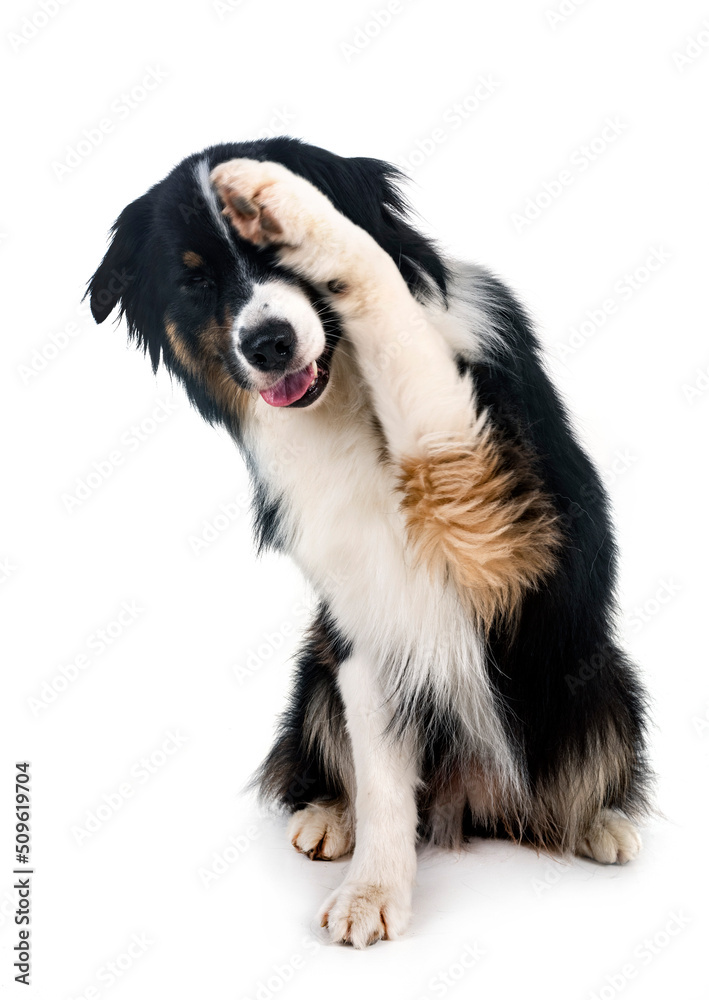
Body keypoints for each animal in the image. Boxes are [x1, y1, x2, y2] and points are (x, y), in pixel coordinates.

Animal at [88, 139, 652, 944]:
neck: (349, 401)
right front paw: (373, 889)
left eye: (278, 259)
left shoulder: (484, 504)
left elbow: (384, 293)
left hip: (597, 674)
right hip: (317, 669)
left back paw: (600, 826)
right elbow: (383, 778)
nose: (268, 344)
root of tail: (470, 798)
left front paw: (280, 197)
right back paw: (330, 815)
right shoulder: (367, 618)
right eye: (194, 282)